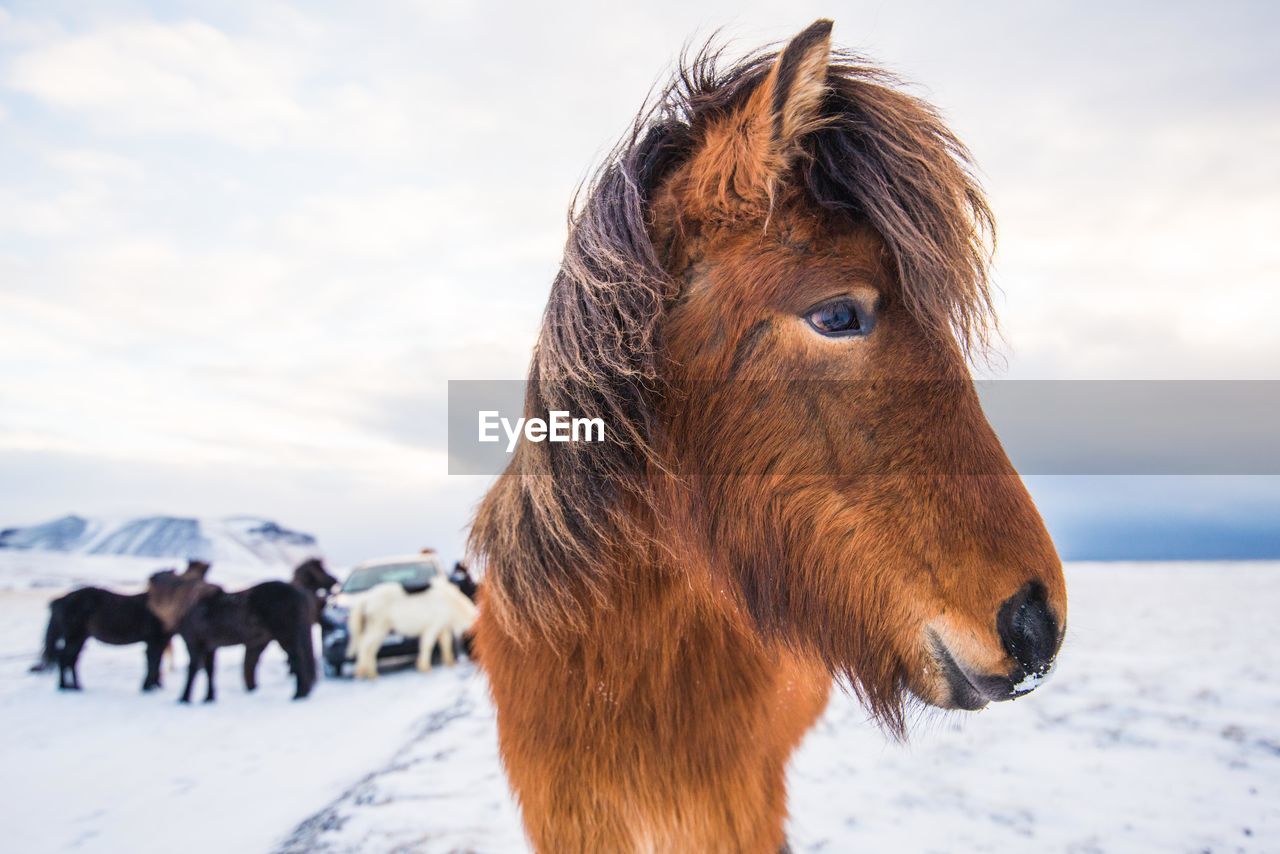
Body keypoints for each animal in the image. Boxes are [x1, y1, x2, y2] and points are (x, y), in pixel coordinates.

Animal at [149, 568, 317, 701]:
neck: (188, 604)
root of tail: (300, 593)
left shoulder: (194, 644)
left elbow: (193, 670)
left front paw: (184, 698)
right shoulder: (210, 647)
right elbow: (210, 671)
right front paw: (209, 698)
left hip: (286, 638)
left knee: (297, 660)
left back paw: (298, 694)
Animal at [348, 581, 478, 681]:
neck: (451, 603)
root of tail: (366, 597)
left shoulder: (443, 628)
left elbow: (445, 644)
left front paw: (450, 663)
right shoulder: (432, 627)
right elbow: (427, 645)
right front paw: (424, 667)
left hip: (381, 630)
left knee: (371, 649)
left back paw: (371, 673)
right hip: (377, 627)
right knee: (364, 645)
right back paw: (364, 672)